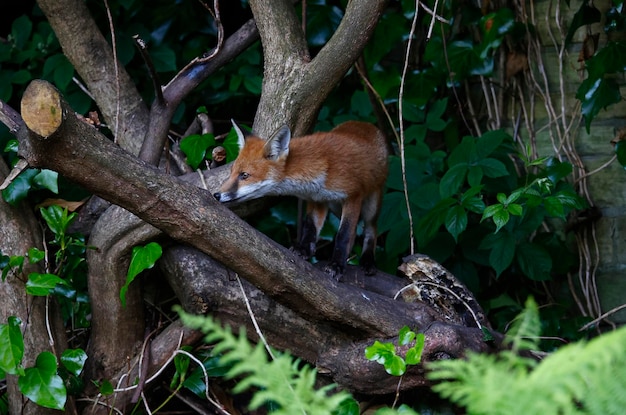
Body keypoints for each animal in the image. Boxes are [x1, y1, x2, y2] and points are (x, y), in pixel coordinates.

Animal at [216, 118, 390, 278]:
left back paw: (368, 261)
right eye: (231, 172)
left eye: (244, 175)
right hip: (335, 207)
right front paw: (304, 249)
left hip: (371, 205)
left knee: (371, 229)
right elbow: (310, 226)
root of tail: (365, 124)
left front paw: (336, 265)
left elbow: (344, 234)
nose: (216, 195)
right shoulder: (318, 198)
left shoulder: (353, 196)